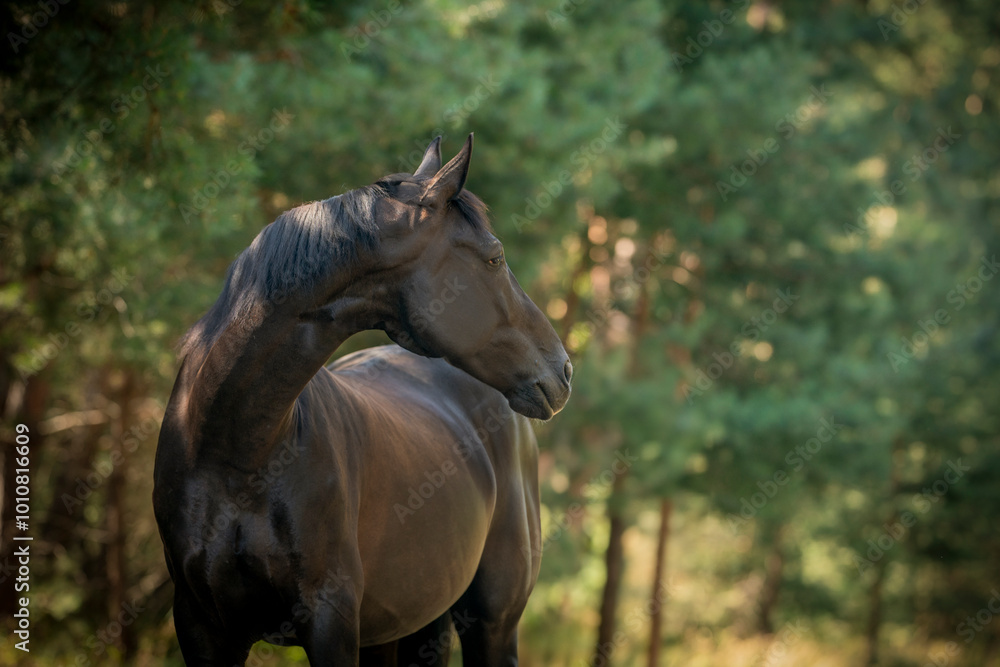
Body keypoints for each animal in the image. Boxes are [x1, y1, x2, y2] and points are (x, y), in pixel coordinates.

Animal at [153, 134, 572, 666]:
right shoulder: (201, 626)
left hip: (492, 624)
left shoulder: (330, 620)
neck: (231, 452)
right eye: (495, 258)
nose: (563, 369)